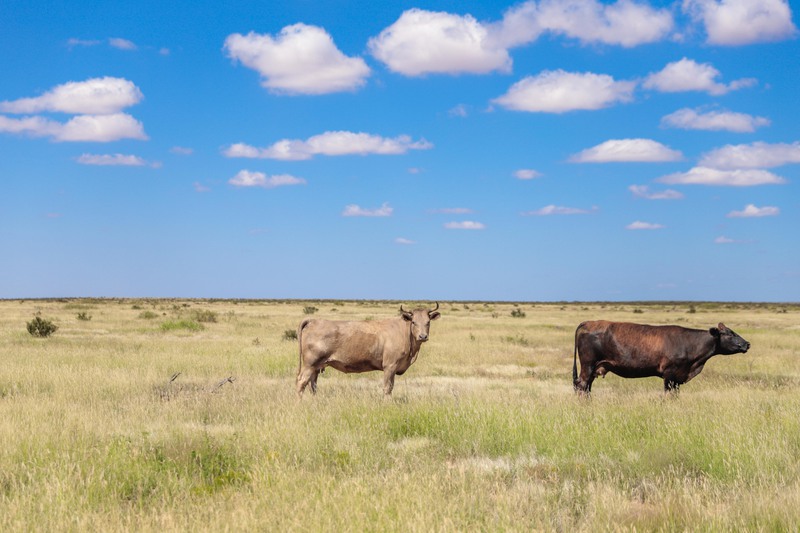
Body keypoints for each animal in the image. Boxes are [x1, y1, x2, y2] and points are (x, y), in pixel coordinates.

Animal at [296, 304, 440, 394]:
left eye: (428, 322)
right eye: (414, 322)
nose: (423, 336)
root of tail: (313, 320)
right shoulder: (390, 366)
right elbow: (387, 388)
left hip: (316, 367)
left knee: (312, 385)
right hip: (310, 364)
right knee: (301, 383)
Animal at [576, 318, 752, 392]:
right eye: (729, 334)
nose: (747, 344)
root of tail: (589, 323)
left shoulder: (677, 379)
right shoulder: (670, 374)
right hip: (588, 365)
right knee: (582, 386)